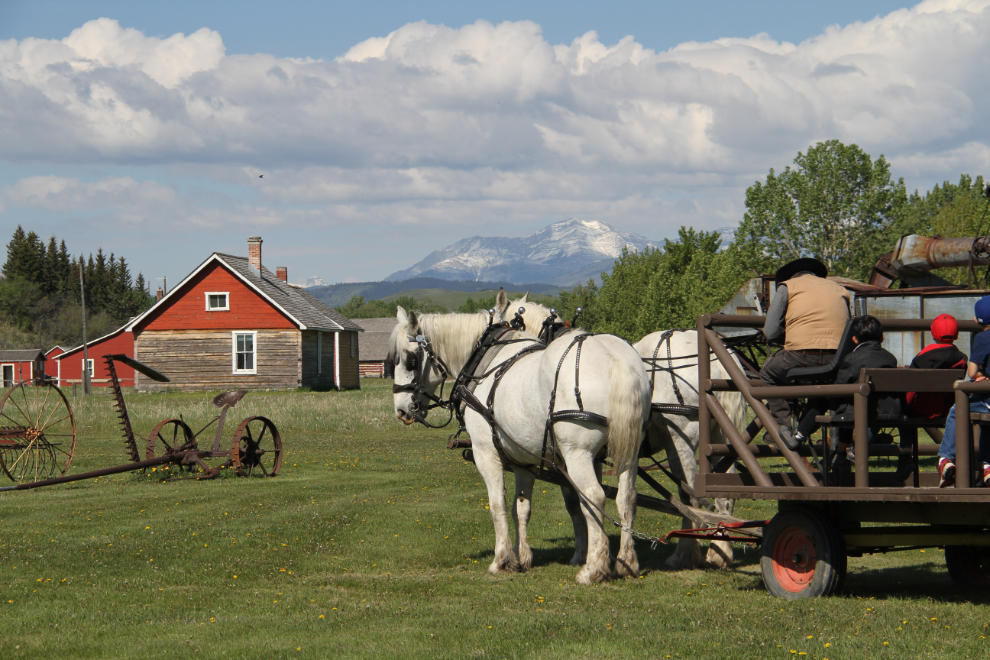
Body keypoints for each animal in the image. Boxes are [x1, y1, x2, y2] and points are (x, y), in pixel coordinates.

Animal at [392, 296, 656, 584]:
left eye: (409, 360)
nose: (401, 410)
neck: (486, 361)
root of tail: (616, 360)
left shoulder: (486, 453)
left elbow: (498, 504)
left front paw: (502, 560)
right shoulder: (523, 461)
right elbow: (522, 508)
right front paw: (523, 557)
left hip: (578, 453)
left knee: (594, 497)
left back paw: (593, 569)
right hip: (629, 450)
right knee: (626, 498)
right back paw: (626, 563)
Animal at [512, 296, 744, 568]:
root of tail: (719, 360)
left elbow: (575, 502)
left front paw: (584, 554)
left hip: (681, 439)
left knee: (691, 497)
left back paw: (683, 554)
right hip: (721, 439)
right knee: (725, 494)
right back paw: (720, 552)